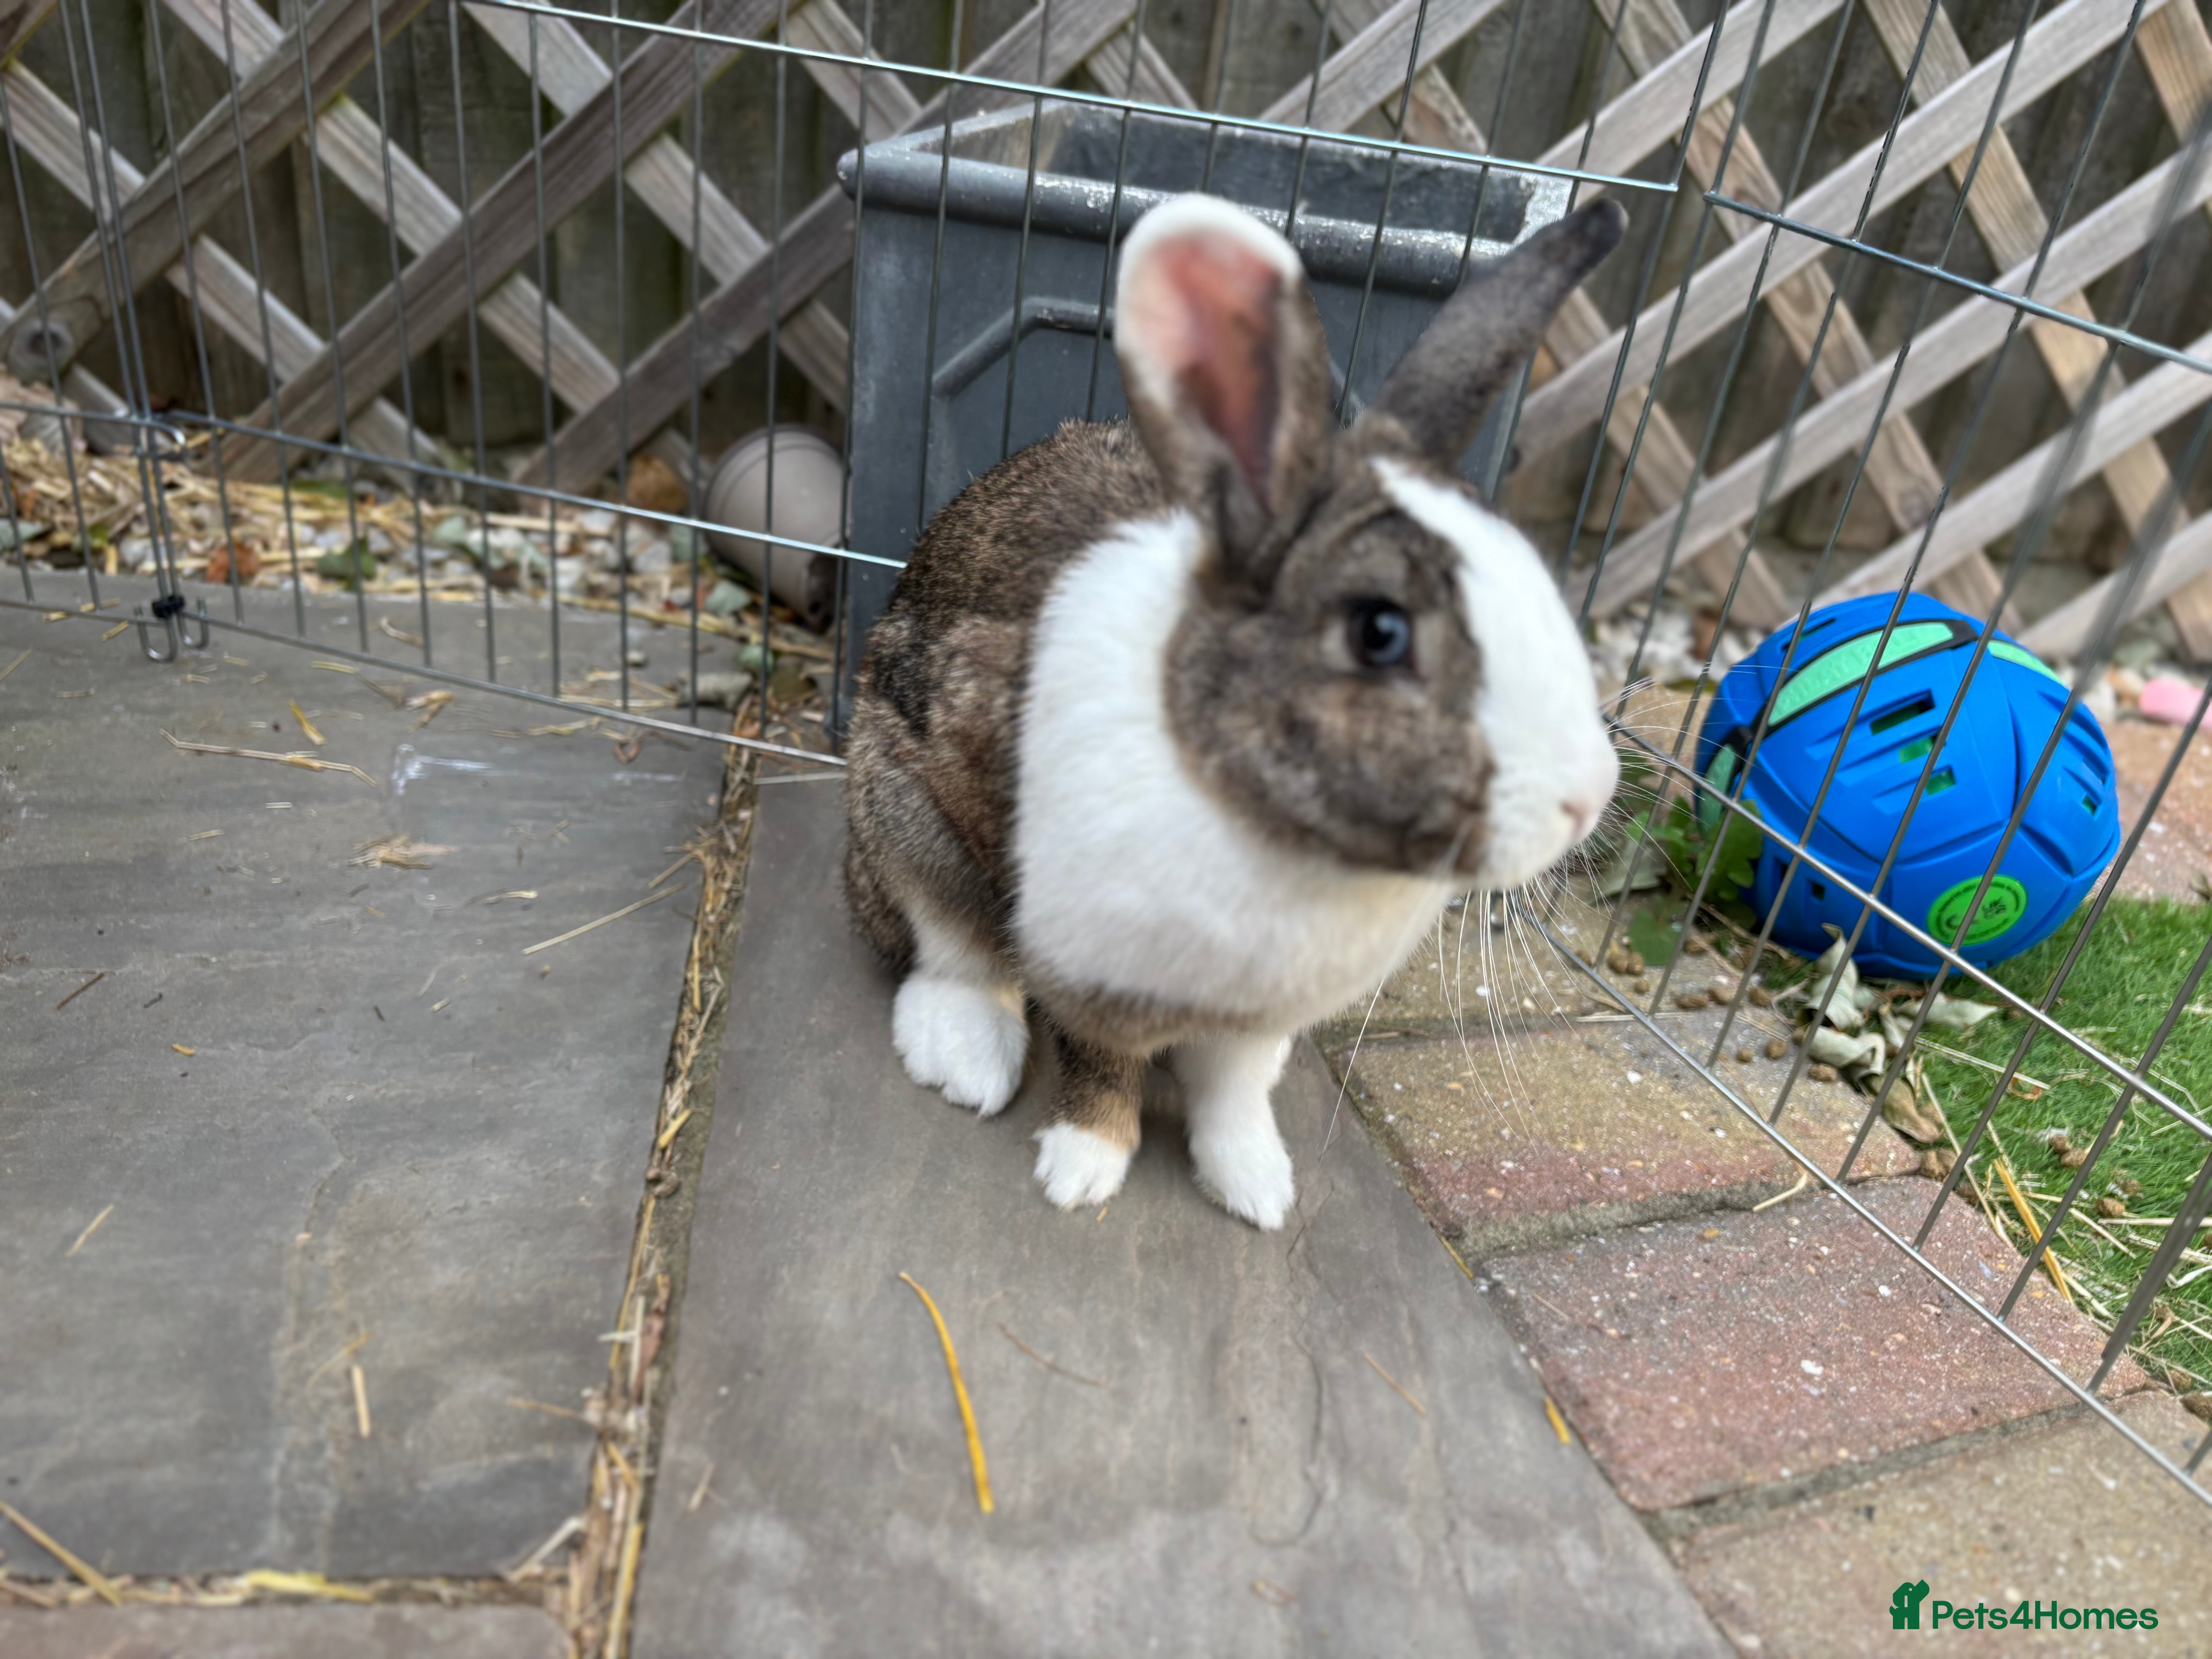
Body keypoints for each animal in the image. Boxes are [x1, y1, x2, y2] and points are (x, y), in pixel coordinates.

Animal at [843, 190, 1627, 1230]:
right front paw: (1084, 1169)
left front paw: (1257, 1188)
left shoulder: (1263, 1023)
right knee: (948, 948)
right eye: (1380, 632)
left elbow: (1235, 1091)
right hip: (903, 809)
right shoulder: (1088, 968)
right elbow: (1102, 1068)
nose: (1589, 798)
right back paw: (967, 1057)